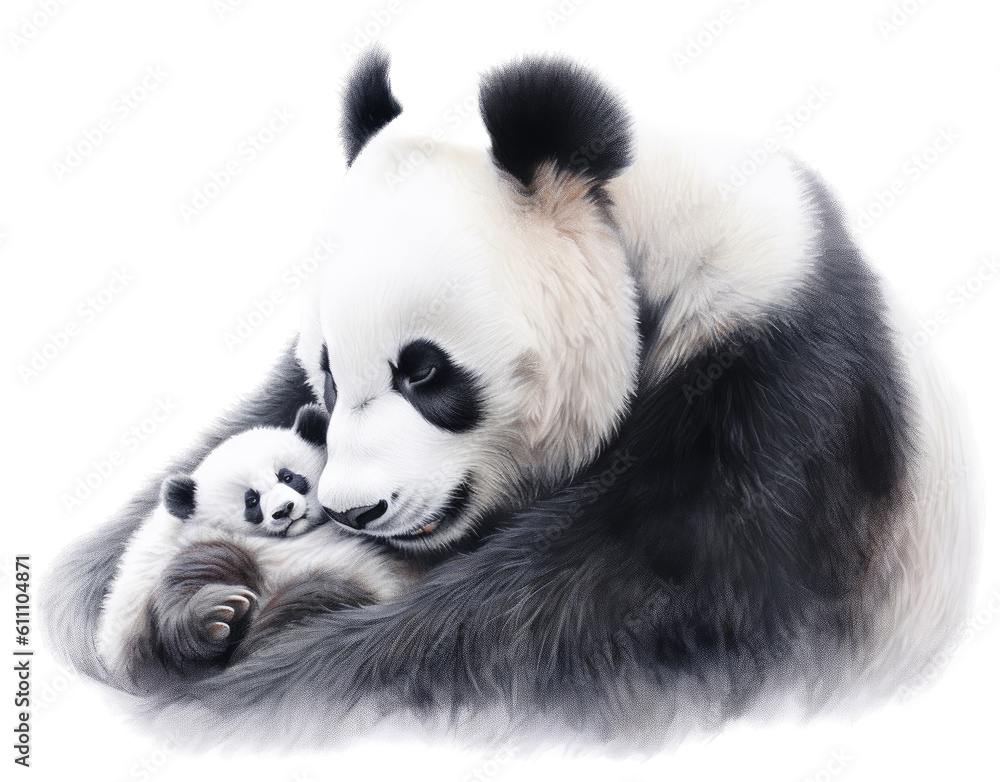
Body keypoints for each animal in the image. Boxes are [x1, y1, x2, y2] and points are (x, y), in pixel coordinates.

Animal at [96, 403, 405, 689]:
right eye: (251, 500)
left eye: (287, 476)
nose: (284, 510)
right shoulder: (203, 546)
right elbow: (190, 584)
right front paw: (219, 614)